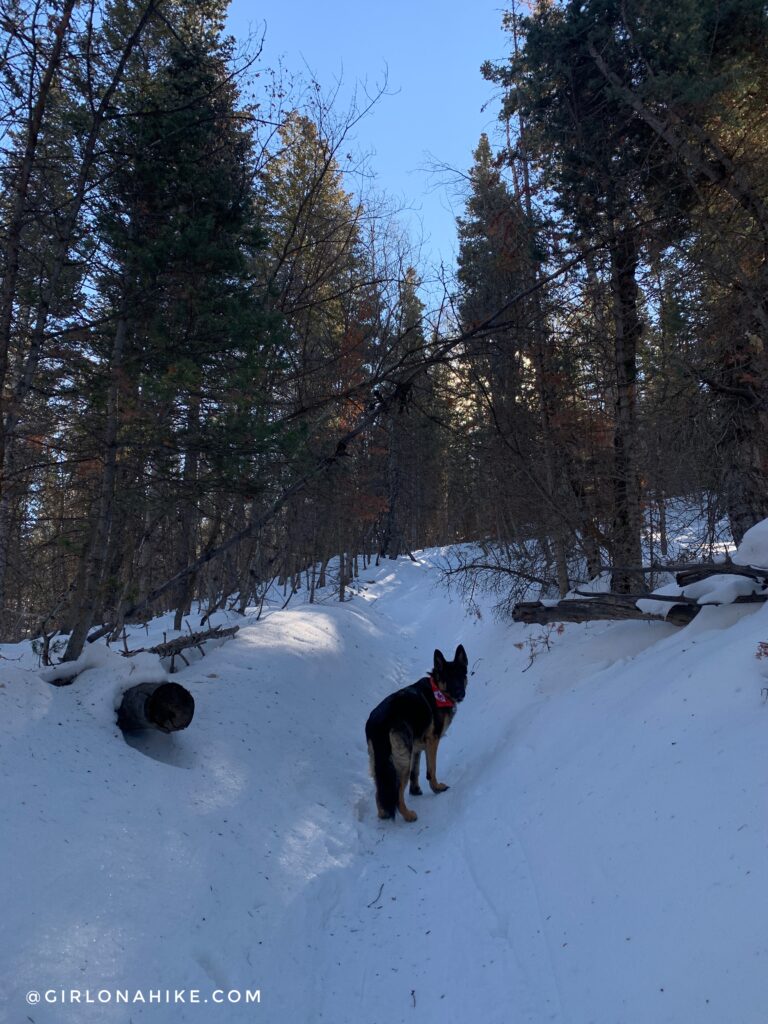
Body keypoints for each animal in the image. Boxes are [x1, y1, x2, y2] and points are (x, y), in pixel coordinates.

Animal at [366, 643, 468, 819]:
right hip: (402, 761)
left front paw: (415, 790)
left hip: (381, 763)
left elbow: (416, 771)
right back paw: (407, 815)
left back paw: (383, 814)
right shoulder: (432, 742)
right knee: (397, 790)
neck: (437, 688)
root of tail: (379, 722)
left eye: (461, 676)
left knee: (381, 790)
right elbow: (431, 769)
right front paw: (436, 788)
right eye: (448, 678)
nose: (460, 693)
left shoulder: (417, 748)